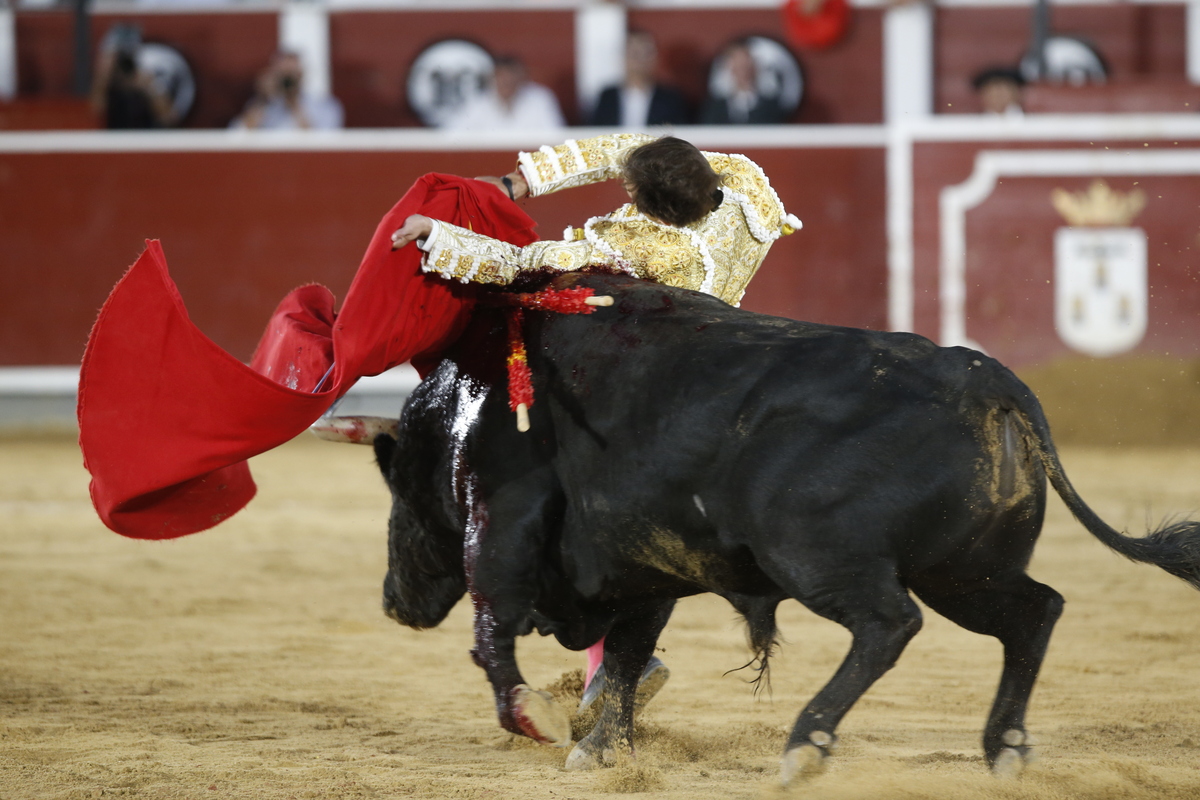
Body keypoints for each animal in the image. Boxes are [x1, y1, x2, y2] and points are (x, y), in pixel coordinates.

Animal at [328, 272, 1200, 786]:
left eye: (398, 500)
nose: (392, 598)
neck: (461, 413)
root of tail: (986, 377)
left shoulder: (500, 530)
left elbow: (492, 632)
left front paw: (536, 718)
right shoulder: (647, 570)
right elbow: (629, 659)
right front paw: (600, 747)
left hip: (822, 556)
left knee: (890, 624)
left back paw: (805, 744)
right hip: (963, 569)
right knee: (1034, 610)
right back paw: (1005, 748)